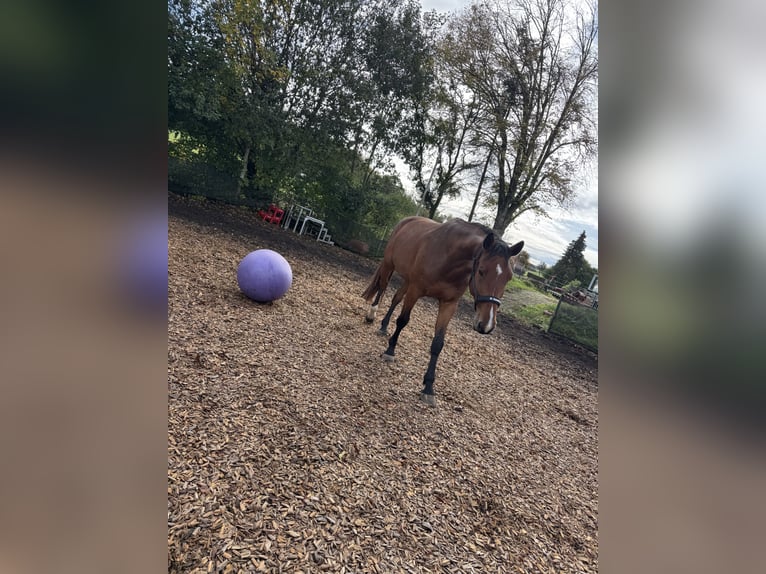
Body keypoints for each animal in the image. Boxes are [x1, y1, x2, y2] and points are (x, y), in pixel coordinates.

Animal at [364, 214, 524, 408]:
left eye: (509, 277)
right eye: (481, 271)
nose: (486, 324)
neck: (448, 258)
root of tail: (407, 220)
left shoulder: (449, 304)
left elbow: (438, 343)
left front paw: (428, 388)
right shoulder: (415, 290)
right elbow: (403, 320)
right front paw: (390, 351)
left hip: (407, 280)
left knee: (395, 298)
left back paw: (384, 326)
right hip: (389, 265)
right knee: (382, 288)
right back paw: (372, 315)